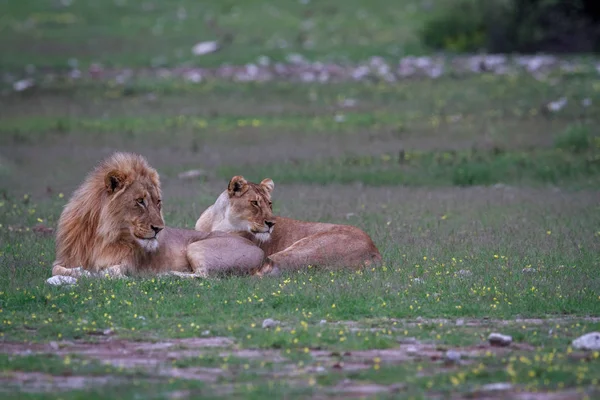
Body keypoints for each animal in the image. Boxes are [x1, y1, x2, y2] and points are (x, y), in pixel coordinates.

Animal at [50, 152, 266, 282]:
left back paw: (167, 274)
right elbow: (57, 269)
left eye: (157, 202)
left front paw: (98, 273)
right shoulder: (65, 259)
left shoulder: (129, 263)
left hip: (196, 247)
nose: (159, 229)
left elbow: (113, 271)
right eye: (140, 201)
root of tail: (259, 250)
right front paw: (81, 272)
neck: (102, 235)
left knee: (204, 276)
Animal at [195, 176, 382, 276]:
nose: (271, 223)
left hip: (305, 247)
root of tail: (375, 250)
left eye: (269, 203)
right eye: (255, 203)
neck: (218, 220)